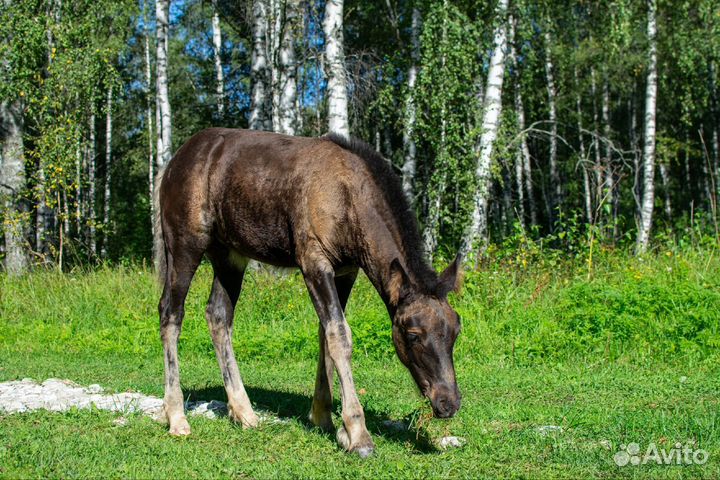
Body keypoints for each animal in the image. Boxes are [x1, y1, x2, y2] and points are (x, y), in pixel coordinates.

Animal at [154, 128, 462, 457]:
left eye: (456, 331)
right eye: (413, 334)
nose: (449, 403)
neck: (350, 207)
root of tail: (169, 167)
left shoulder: (346, 270)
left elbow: (325, 333)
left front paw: (324, 417)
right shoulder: (313, 260)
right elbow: (339, 335)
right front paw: (358, 433)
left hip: (229, 255)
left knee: (218, 314)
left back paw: (244, 412)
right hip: (184, 243)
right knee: (171, 312)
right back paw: (176, 416)